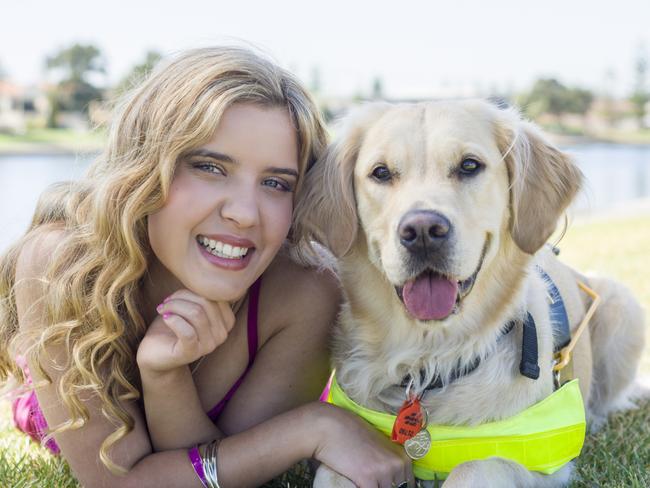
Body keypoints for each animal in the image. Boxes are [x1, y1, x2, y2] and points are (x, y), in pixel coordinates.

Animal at [296, 100, 644, 488]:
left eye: (469, 166)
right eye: (381, 173)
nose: (422, 231)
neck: (430, 361)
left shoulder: (544, 462)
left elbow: (473, 466)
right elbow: (333, 471)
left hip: (622, 306)